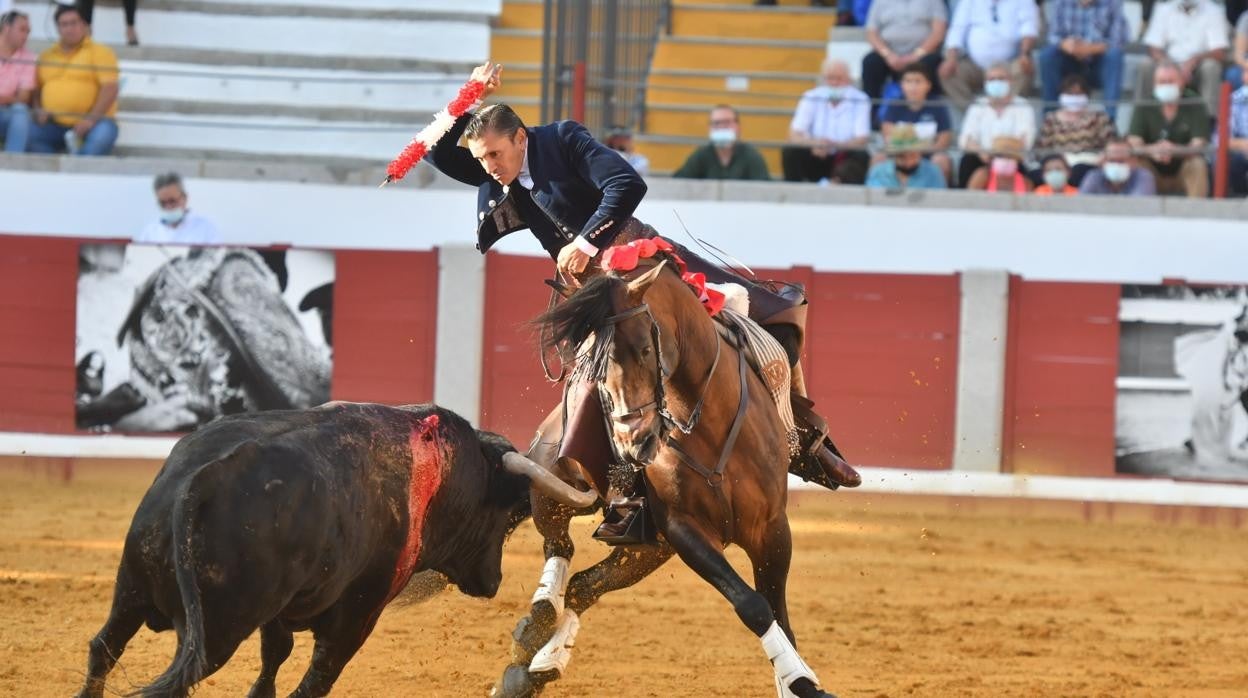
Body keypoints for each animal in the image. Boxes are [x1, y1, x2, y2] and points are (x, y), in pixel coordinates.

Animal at [76, 402, 594, 694]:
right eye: (507, 516)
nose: (493, 581)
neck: (445, 473)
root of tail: (201, 480)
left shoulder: (283, 610)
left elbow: (273, 662)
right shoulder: (356, 618)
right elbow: (313, 680)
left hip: (131, 590)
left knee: (103, 649)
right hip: (219, 628)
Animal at [491, 259, 833, 694]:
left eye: (644, 348)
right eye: (588, 363)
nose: (633, 444)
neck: (711, 424)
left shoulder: (772, 529)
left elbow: (778, 613)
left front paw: (797, 681)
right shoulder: (684, 529)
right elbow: (753, 606)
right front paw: (801, 679)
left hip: (646, 548)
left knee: (586, 584)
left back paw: (537, 666)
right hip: (552, 486)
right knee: (560, 546)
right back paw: (538, 621)